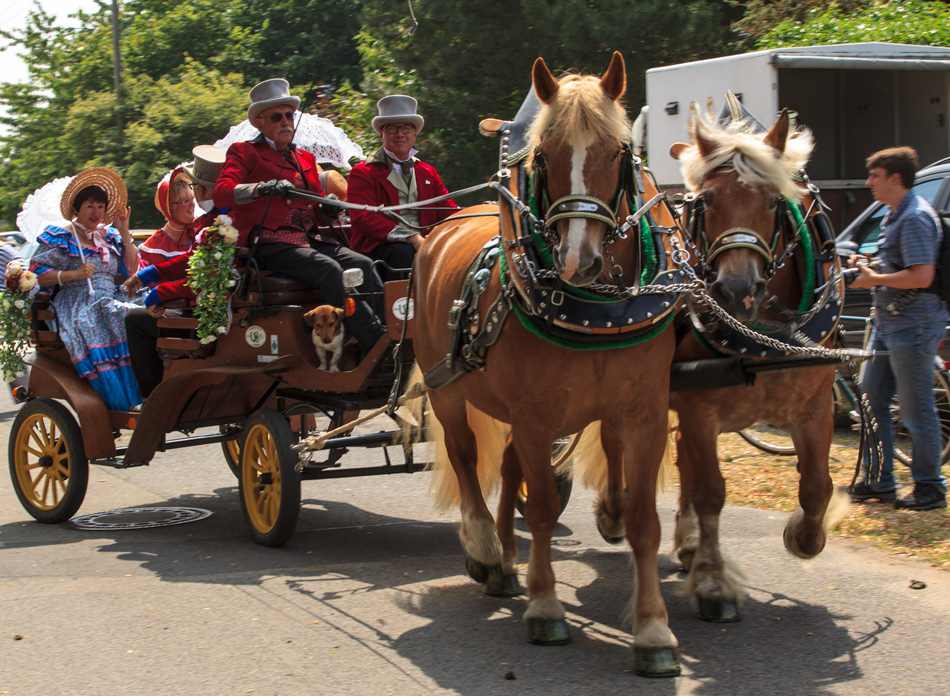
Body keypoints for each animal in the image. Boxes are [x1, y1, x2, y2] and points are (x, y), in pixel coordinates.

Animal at [412, 53, 688, 676]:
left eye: (617, 152)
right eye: (544, 157)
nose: (578, 260)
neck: (598, 308)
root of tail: (441, 228)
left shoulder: (643, 414)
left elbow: (643, 522)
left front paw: (654, 630)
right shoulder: (537, 416)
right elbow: (538, 508)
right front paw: (545, 607)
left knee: (508, 464)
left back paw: (507, 563)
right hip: (447, 392)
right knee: (467, 460)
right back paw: (486, 551)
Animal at [668, 107, 848, 620]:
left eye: (772, 203)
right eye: (707, 200)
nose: (737, 291)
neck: (764, 341)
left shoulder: (815, 405)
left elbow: (817, 486)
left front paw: (804, 536)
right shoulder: (698, 408)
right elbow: (711, 490)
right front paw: (712, 583)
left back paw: (687, 543)